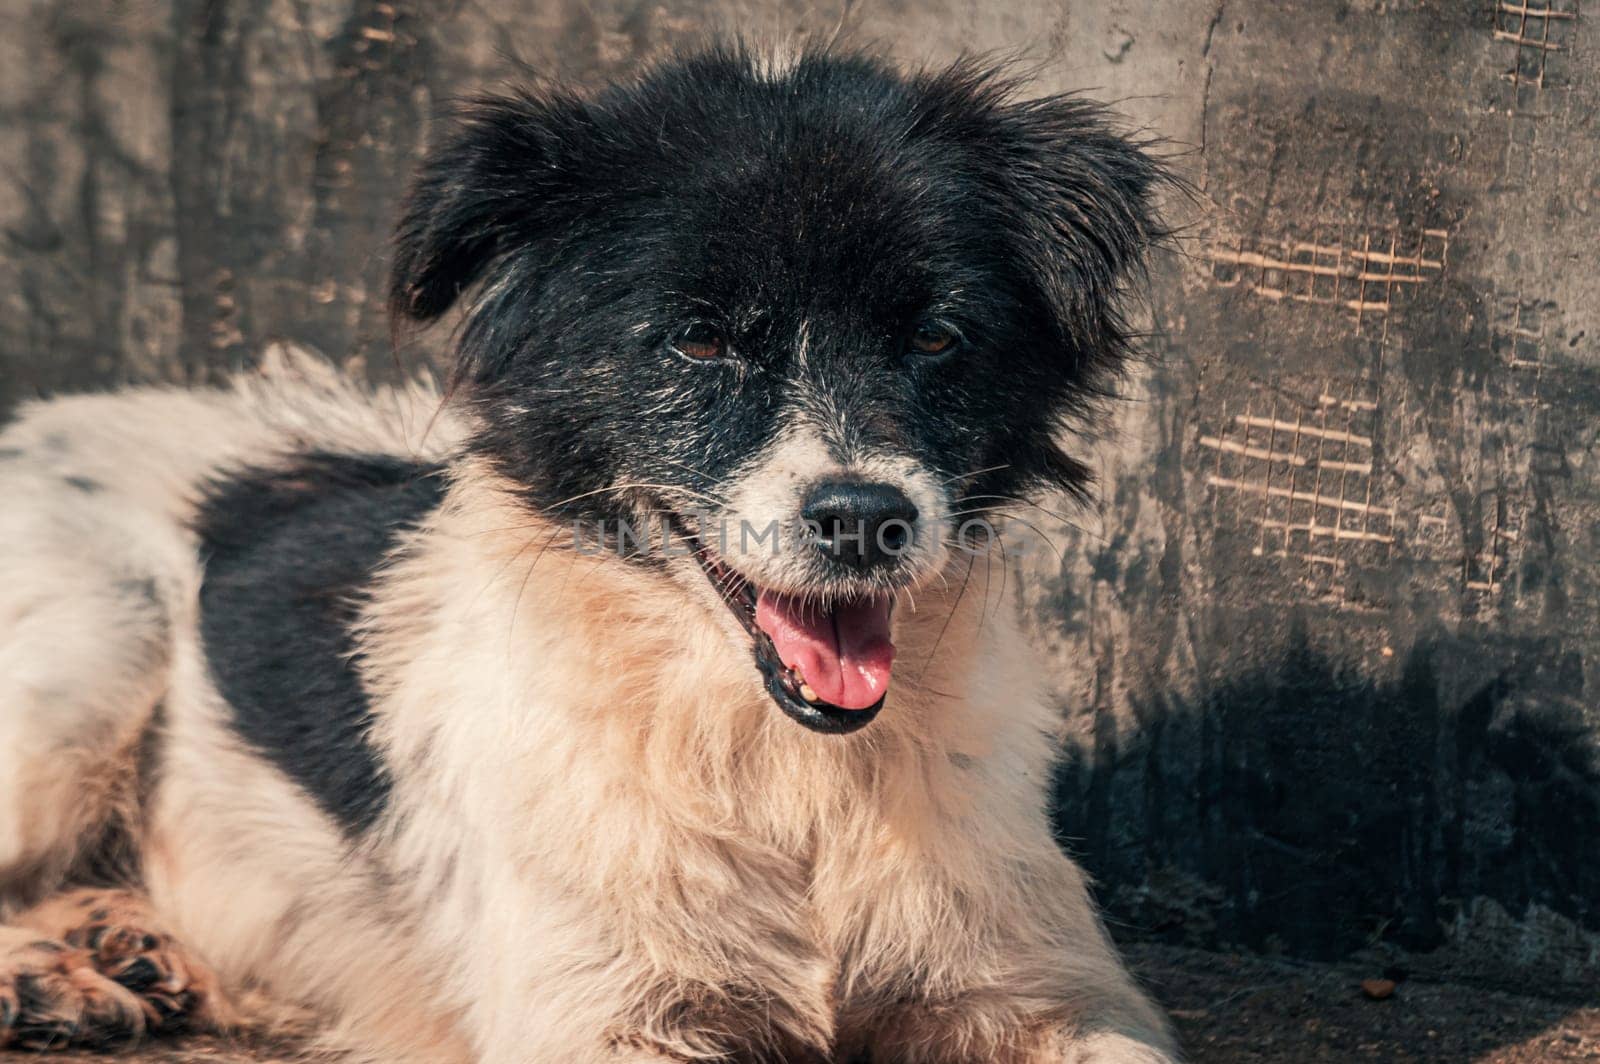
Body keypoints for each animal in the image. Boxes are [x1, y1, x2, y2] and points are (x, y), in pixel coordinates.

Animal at [0, 43, 1177, 1062]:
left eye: (935, 336)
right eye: (698, 338)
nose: (864, 517)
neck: (782, 769)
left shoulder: (1050, 990)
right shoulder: (597, 1016)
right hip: (98, 649)